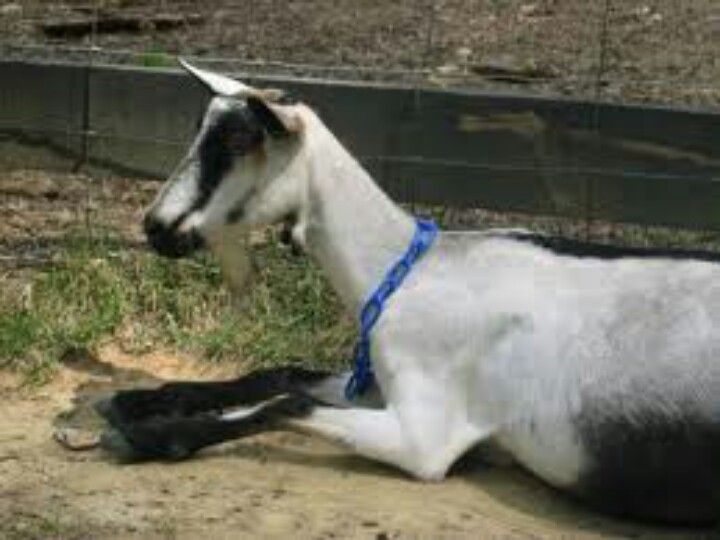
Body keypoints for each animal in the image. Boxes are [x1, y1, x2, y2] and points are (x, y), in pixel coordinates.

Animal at [97, 60, 720, 525]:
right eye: (202, 131)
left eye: (239, 140)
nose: (156, 227)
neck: (409, 270)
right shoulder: (379, 381)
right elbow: (278, 375)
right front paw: (141, 399)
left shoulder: (427, 436)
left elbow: (288, 401)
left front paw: (150, 434)